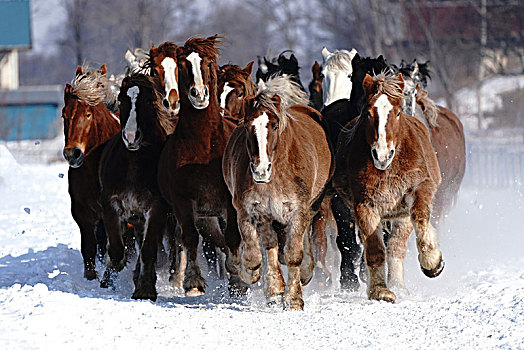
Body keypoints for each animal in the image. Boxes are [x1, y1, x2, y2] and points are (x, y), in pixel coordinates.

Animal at [96, 74, 174, 300]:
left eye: (148, 102)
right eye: (122, 100)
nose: (131, 137)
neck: (133, 164)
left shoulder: (156, 208)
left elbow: (148, 251)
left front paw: (145, 289)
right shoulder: (111, 203)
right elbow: (115, 249)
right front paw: (116, 265)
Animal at [157, 34, 247, 296]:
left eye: (207, 63)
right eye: (182, 65)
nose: (199, 94)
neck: (204, 148)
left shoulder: (230, 203)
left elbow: (233, 238)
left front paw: (237, 281)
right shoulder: (183, 204)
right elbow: (189, 238)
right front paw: (193, 281)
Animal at [223, 76, 334, 308]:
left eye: (274, 126)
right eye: (247, 125)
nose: (260, 170)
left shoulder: (297, 211)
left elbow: (293, 254)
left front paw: (293, 299)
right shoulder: (252, 211)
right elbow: (257, 255)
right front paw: (268, 287)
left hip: (312, 206)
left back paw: (305, 272)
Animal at [336, 74, 442, 304]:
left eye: (398, 112)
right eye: (368, 113)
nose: (382, 155)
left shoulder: (419, 188)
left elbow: (420, 217)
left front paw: (432, 262)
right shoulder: (364, 206)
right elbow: (374, 249)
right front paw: (380, 291)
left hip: (401, 215)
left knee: (396, 246)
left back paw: (400, 285)